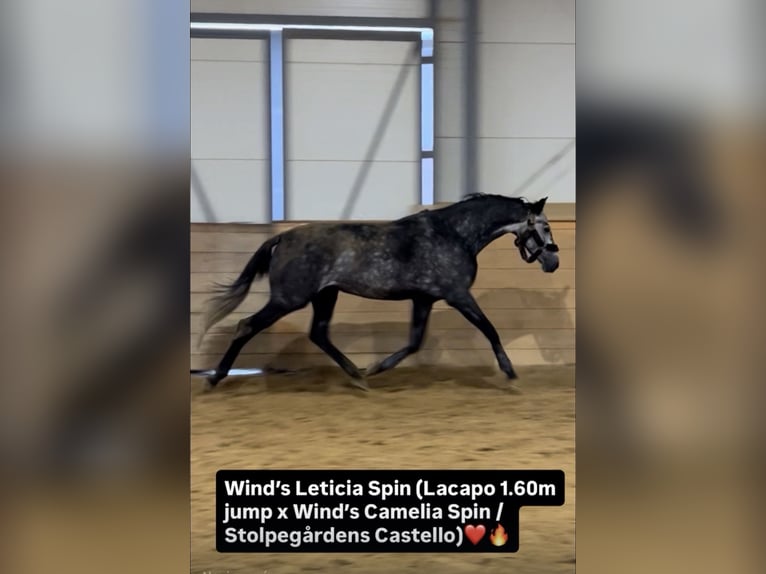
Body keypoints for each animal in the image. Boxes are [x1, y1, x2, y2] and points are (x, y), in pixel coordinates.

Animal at [197, 194, 560, 390]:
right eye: (544, 226)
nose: (553, 261)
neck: (455, 234)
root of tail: (282, 238)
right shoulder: (457, 295)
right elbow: (490, 329)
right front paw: (510, 373)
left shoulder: (424, 299)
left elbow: (414, 343)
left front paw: (375, 368)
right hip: (289, 299)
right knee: (246, 326)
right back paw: (215, 378)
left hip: (325, 296)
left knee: (319, 334)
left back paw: (358, 376)